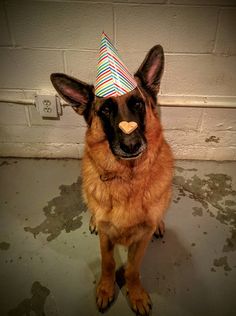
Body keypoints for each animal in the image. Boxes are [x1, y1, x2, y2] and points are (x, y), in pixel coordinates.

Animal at [50, 45, 173, 316]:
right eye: (105, 110)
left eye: (138, 103)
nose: (131, 145)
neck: (126, 178)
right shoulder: (106, 237)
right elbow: (107, 264)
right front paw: (106, 289)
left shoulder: (141, 240)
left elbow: (132, 269)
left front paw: (135, 293)